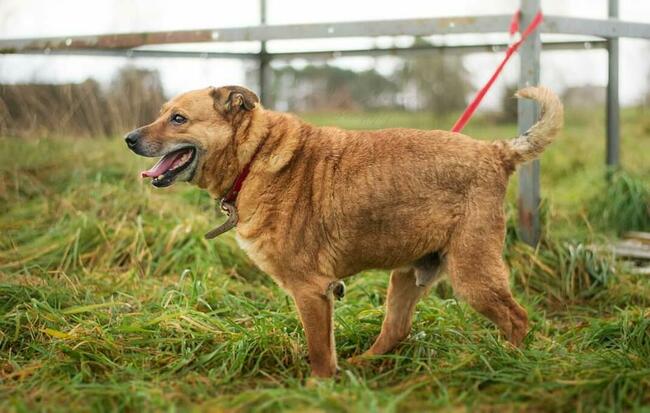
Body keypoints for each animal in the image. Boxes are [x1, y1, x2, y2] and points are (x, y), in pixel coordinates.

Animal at [124, 85, 560, 378]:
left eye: (178, 118)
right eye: (163, 113)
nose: (129, 138)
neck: (254, 156)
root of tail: (495, 152)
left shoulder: (310, 291)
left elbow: (319, 353)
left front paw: (316, 390)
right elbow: (328, 350)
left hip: (472, 276)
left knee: (517, 318)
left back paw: (507, 363)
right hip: (406, 278)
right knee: (396, 331)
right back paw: (362, 365)